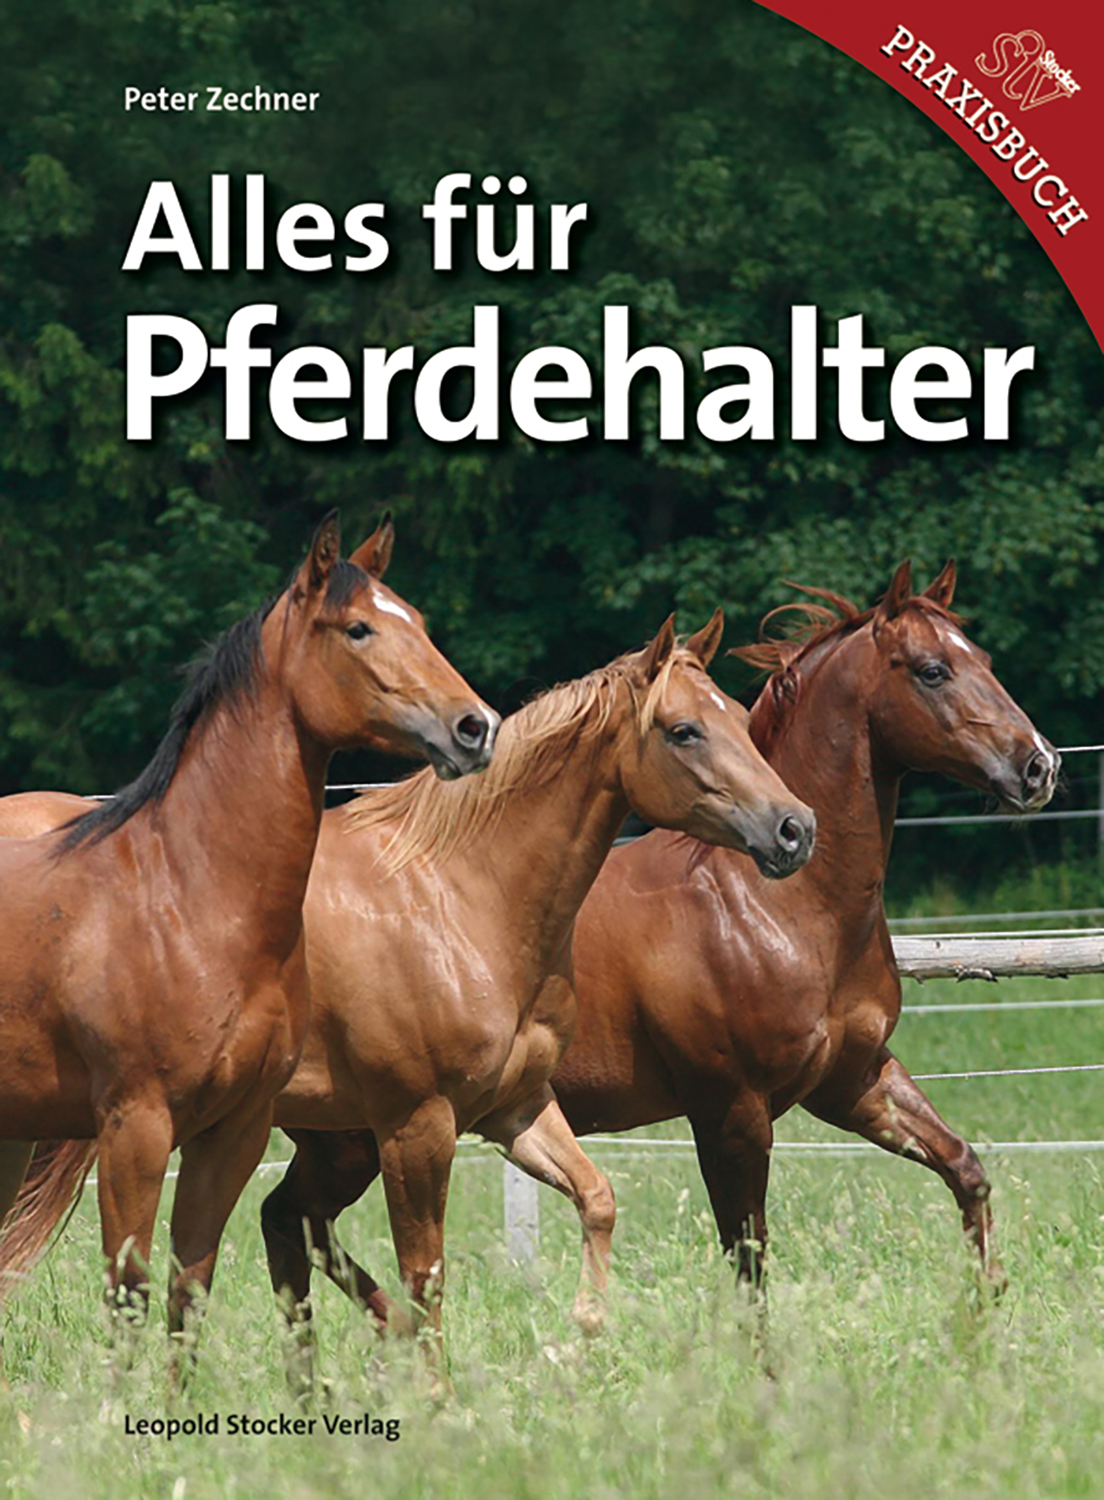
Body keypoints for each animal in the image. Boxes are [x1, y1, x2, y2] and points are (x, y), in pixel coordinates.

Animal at [0, 512, 499, 1358]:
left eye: (421, 623)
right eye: (358, 628)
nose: (475, 728)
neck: (190, 901)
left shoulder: (233, 1132)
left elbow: (186, 1293)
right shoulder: (135, 1128)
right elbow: (129, 1298)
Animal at [5, 612, 816, 1381]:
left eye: (741, 717)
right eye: (683, 730)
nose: (794, 829)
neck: (456, 894)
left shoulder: (514, 1109)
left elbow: (598, 1199)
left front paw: (573, 1340)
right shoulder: (416, 1125)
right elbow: (425, 1275)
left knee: (285, 1225)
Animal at [549, 561, 1059, 1291]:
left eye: (984, 659)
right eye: (933, 670)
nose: (1039, 765)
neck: (773, 905)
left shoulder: (854, 1079)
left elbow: (967, 1169)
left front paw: (989, 1306)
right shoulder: (730, 1113)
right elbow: (749, 1259)